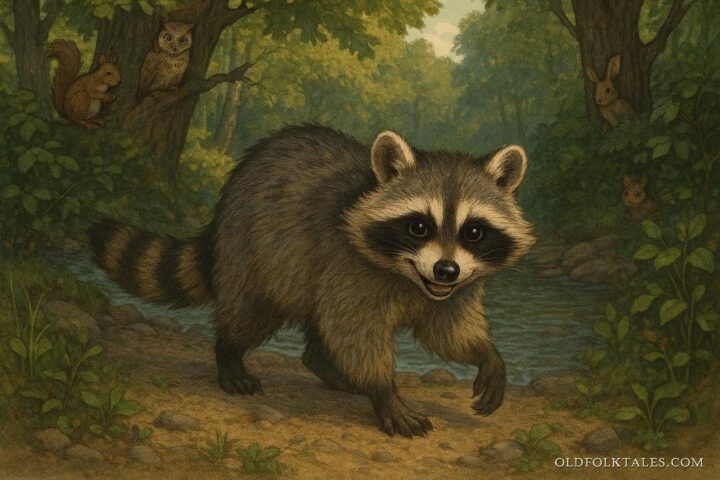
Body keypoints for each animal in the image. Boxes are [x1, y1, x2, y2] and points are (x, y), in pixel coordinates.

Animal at [89, 125, 535, 437]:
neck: (408, 276)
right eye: (419, 226)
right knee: (252, 313)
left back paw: (326, 366)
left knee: (319, 326)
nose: (445, 270)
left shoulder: (458, 288)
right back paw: (229, 353)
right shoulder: (348, 265)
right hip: (256, 253)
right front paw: (384, 390)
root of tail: (221, 208)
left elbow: (449, 329)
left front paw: (487, 354)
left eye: (473, 232)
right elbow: (357, 334)